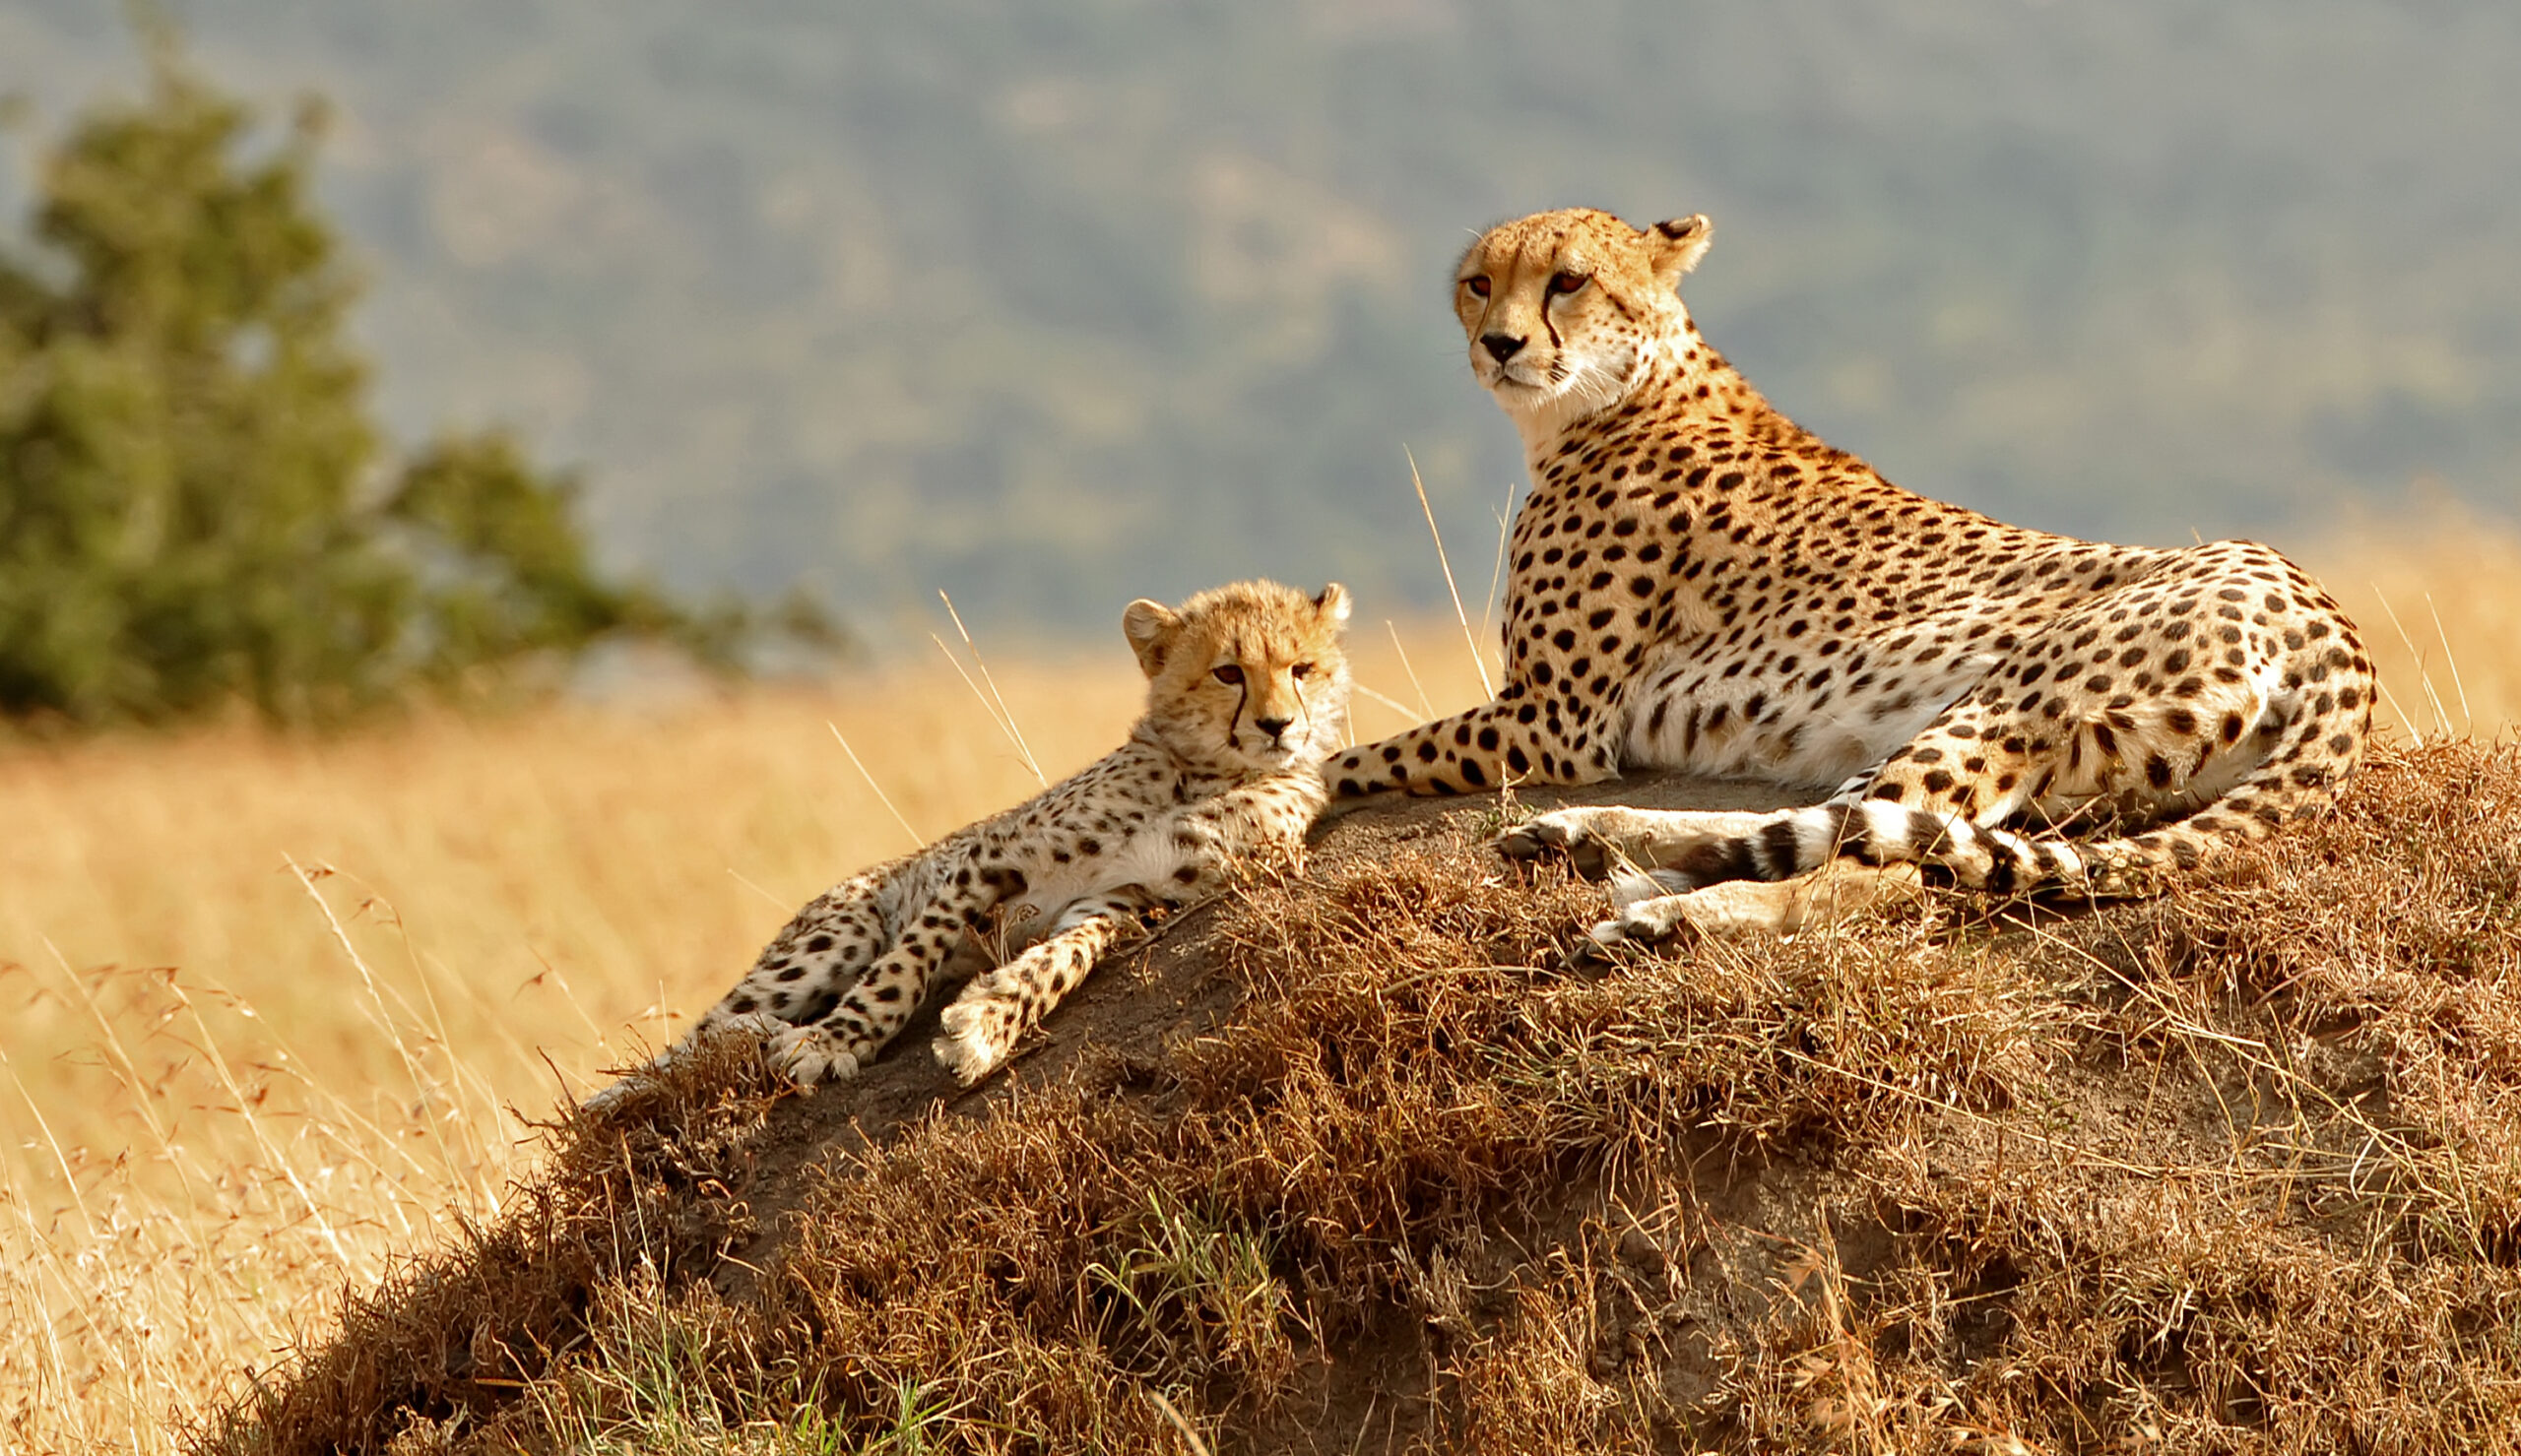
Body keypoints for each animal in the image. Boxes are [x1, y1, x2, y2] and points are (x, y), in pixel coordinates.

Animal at [594, 579, 1352, 1103]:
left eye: (1302, 669)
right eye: (1228, 672)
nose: (1279, 725)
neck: (1202, 773)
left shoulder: (1126, 899)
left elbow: (1060, 961)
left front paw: (989, 1022)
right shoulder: (989, 862)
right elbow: (902, 969)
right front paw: (836, 1040)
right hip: (835, 935)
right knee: (677, 1051)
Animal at [1325, 206, 2374, 950]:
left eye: (1568, 281)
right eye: (1479, 283)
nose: (1498, 343)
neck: (1618, 391)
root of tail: (2327, 613)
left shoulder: (1553, 718)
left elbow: (1351, 756)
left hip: (2006, 703)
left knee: (1881, 865)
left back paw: (1668, 910)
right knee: (1836, 821)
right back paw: (1599, 842)